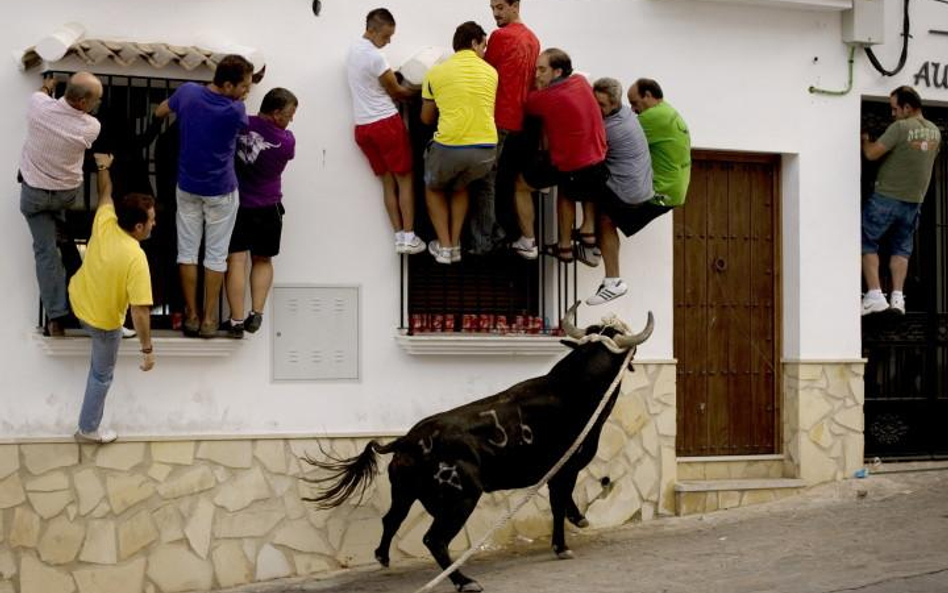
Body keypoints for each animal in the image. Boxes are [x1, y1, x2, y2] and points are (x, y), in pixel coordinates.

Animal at [304, 302, 652, 588]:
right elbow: (557, 504)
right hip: (461, 499)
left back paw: (383, 557)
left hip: (404, 492)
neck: (573, 388)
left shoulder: (558, 472)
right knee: (434, 540)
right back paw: (464, 581)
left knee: (391, 519)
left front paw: (578, 519)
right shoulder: (565, 468)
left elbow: (563, 501)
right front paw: (562, 546)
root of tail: (410, 440)